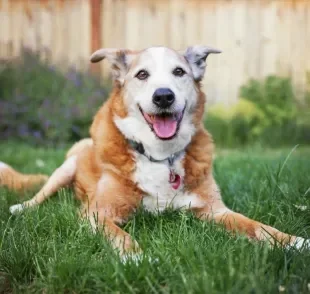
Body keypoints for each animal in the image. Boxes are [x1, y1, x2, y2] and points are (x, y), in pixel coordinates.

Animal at [1, 44, 308, 260]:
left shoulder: (215, 211)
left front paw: (294, 241)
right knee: (41, 195)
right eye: (142, 74)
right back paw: (20, 208)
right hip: (65, 168)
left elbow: (256, 226)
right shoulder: (96, 214)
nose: (163, 96)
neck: (161, 156)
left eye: (179, 72)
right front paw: (136, 258)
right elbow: (118, 234)